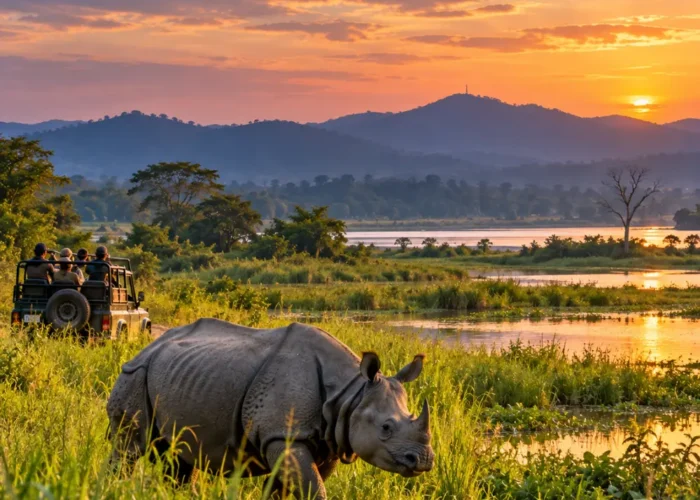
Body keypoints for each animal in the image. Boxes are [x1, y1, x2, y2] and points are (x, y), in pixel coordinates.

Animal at [107, 319, 434, 499]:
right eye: (386, 428)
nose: (423, 461)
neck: (349, 394)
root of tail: (148, 345)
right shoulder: (283, 435)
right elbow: (313, 489)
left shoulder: (322, 442)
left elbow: (286, 488)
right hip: (135, 374)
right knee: (129, 447)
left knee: (180, 458)